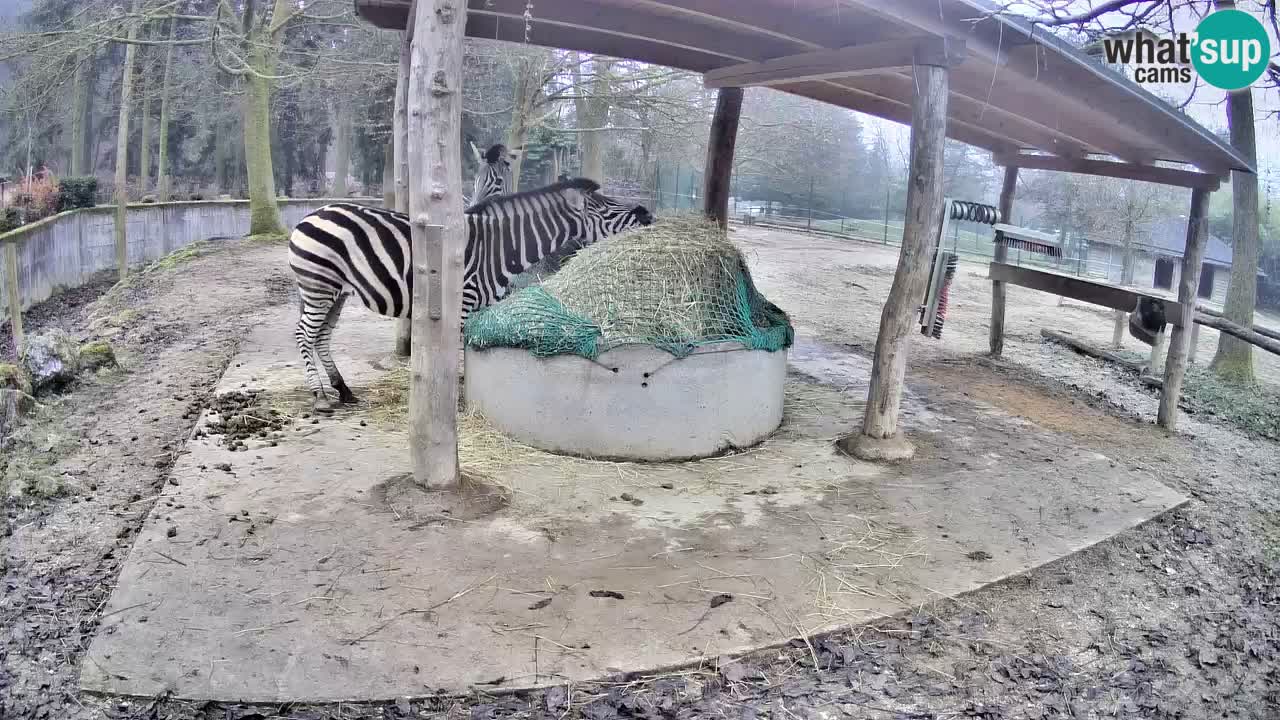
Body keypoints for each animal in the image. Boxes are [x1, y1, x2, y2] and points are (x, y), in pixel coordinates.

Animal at [288, 178, 654, 412]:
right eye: (606, 209)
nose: (648, 214)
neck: (499, 248)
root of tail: (311, 213)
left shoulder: (479, 306)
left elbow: (474, 352)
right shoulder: (461, 303)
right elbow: (459, 355)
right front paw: (456, 400)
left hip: (335, 291)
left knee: (321, 337)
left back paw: (343, 390)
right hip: (319, 285)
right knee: (305, 334)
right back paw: (320, 397)